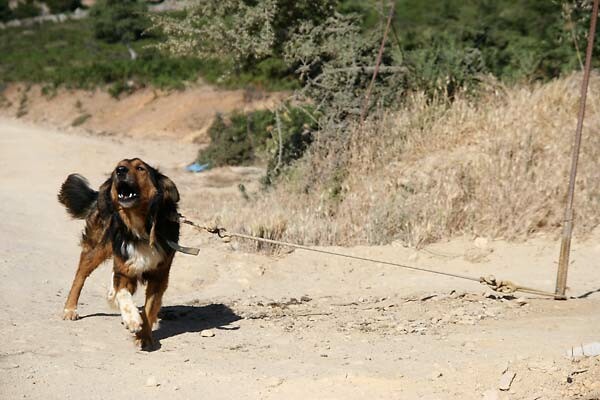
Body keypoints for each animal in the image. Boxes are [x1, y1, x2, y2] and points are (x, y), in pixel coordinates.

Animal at [58, 158, 180, 348]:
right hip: (102, 245)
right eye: (117, 167)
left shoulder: (159, 276)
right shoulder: (124, 269)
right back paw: (70, 308)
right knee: (82, 270)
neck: (139, 230)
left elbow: (149, 308)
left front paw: (144, 336)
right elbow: (122, 292)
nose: (120, 171)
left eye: (140, 168)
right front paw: (132, 319)